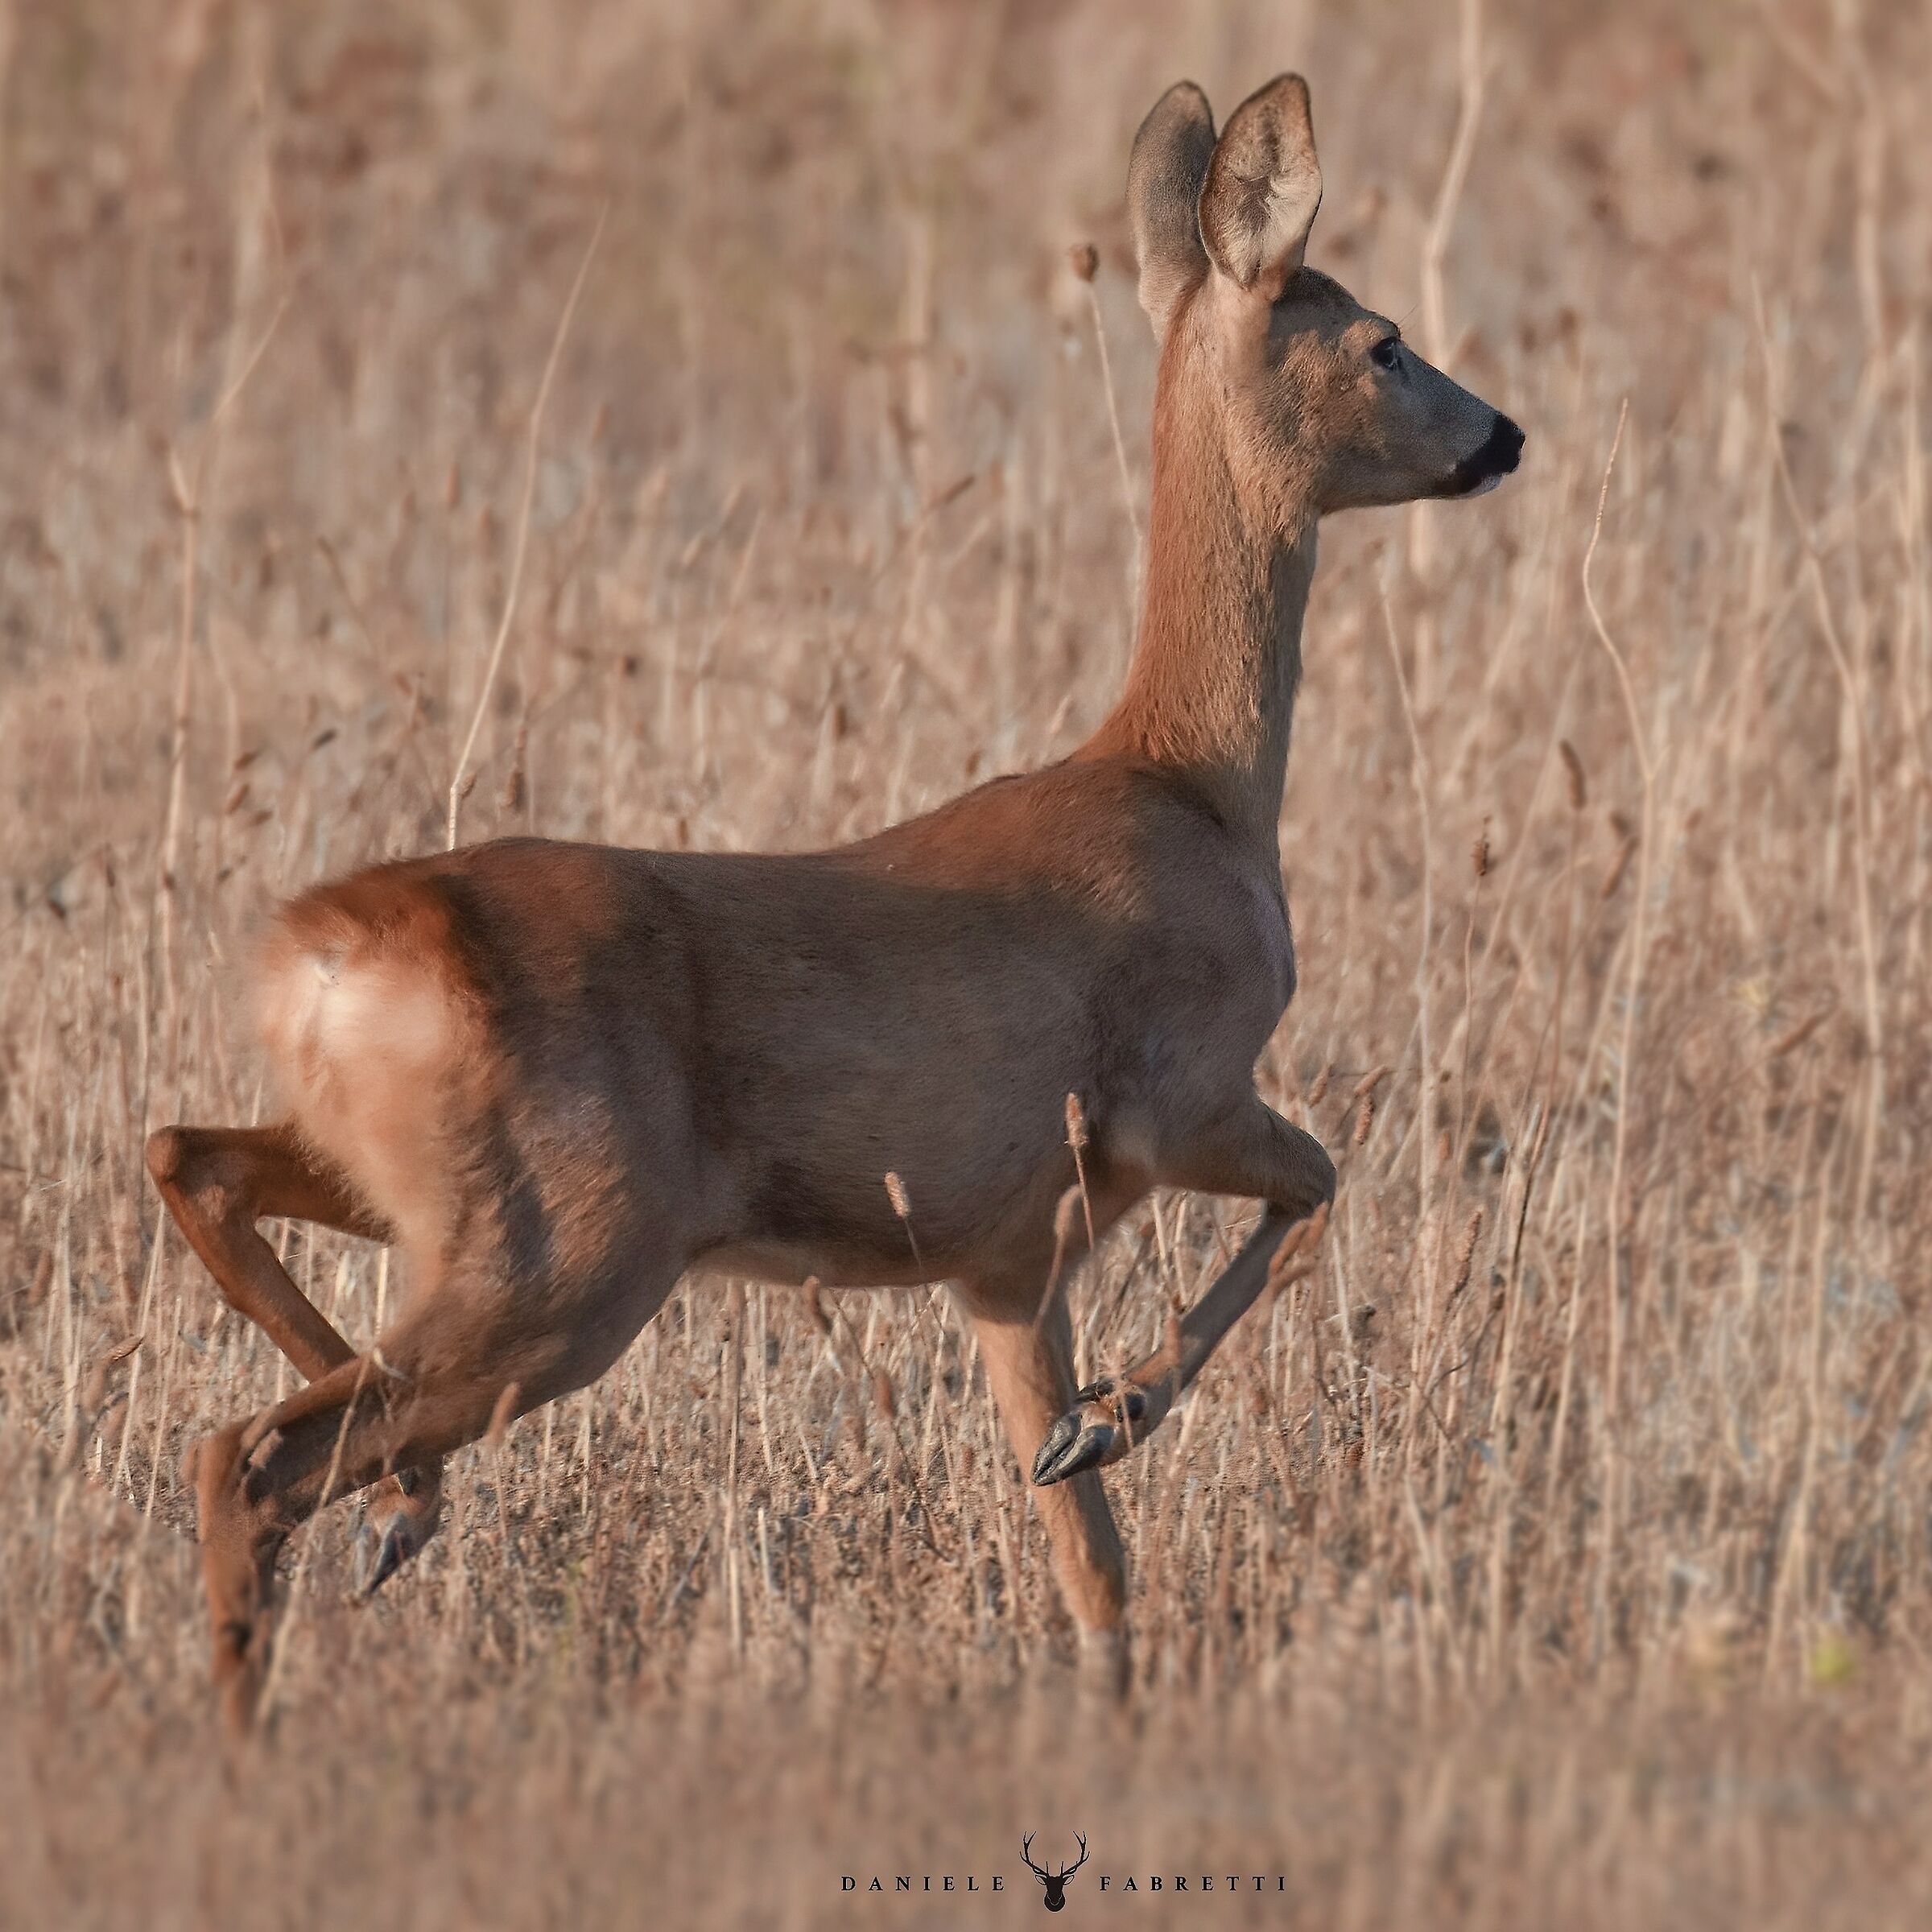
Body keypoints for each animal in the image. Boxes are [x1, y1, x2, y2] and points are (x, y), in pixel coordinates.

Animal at [146, 72, 1521, 1734]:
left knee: (195, 1172)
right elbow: (1320, 1183)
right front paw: (1120, 1414)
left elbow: (1093, 1565)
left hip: (417, 1198)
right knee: (249, 1455)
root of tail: (321, 957)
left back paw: (403, 1517)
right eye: (1382, 340)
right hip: (568, 1259)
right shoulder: (1176, 1101)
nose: (1503, 435)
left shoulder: (1004, 1260)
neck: (1193, 785)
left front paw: (1093, 1521)